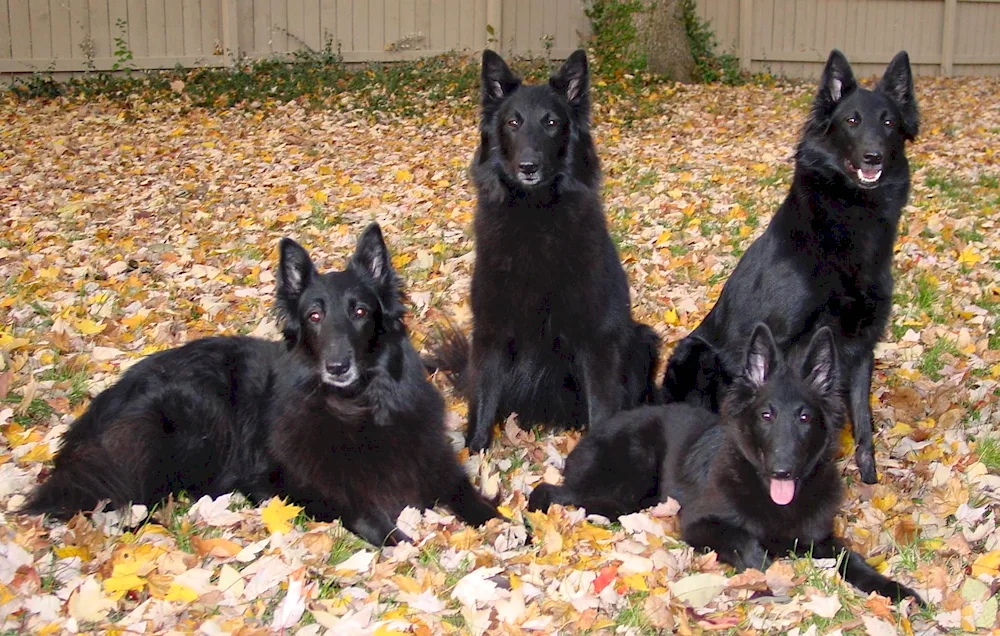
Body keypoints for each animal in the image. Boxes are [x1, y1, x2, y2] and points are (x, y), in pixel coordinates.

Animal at [528, 326, 924, 604]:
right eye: (766, 415)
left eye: (805, 417)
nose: (782, 470)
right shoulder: (697, 524)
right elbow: (747, 543)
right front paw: (769, 580)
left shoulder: (820, 538)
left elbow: (852, 559)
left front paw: (895, 590)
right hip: (625, 489)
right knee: (545, 490)